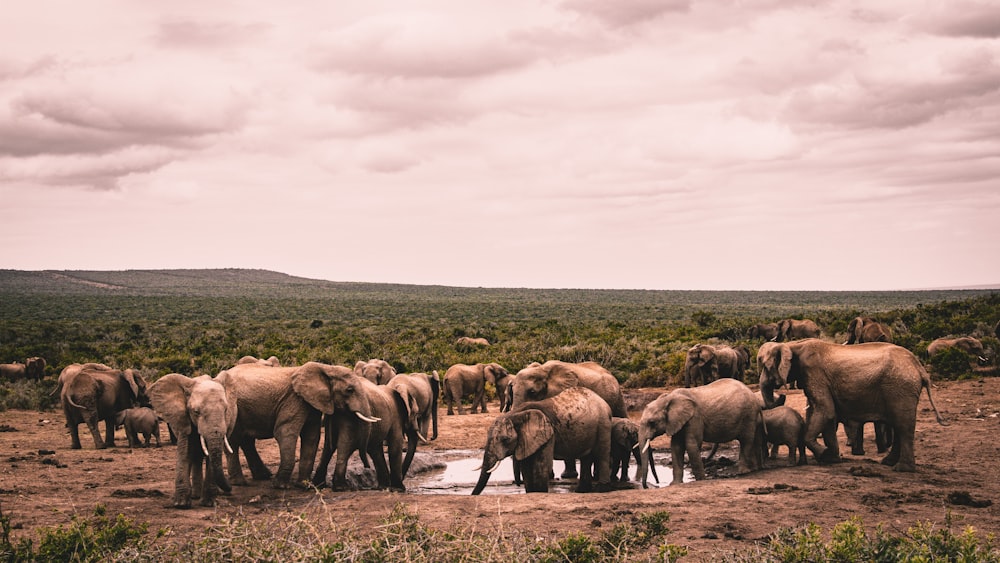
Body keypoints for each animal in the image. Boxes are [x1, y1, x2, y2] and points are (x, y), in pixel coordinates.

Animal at [147, 372, 239, 508]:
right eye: (196, 412)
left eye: (226, 410)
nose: (230, 488)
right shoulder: (184, 419)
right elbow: (185, 452)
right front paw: (181, 504)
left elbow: (210, 457)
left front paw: (209, 503)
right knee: (195, 456)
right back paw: (195, 495)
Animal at [470, 388, 616, 494]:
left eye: (505, 440)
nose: (472, 495)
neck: (516, 414)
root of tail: (604, 402)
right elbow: (526, 466)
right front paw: (531, 493)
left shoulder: (548, 433)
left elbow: (541, 464)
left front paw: (540, 492)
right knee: (586, 457)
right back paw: (581, 491)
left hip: (603, 423)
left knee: (602, 453)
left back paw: (602, 489)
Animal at [756, 340, 944, 472]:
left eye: (765, 366)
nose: (782, 395)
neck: (793, 345)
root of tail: (920, 368)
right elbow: (826, 414)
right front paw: (831, 459)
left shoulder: (814, 373)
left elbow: (825, 410)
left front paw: (823, 454)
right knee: (899, 425)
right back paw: (888, 463)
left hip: (900, 387)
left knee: (903, 425)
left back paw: (901, 469)